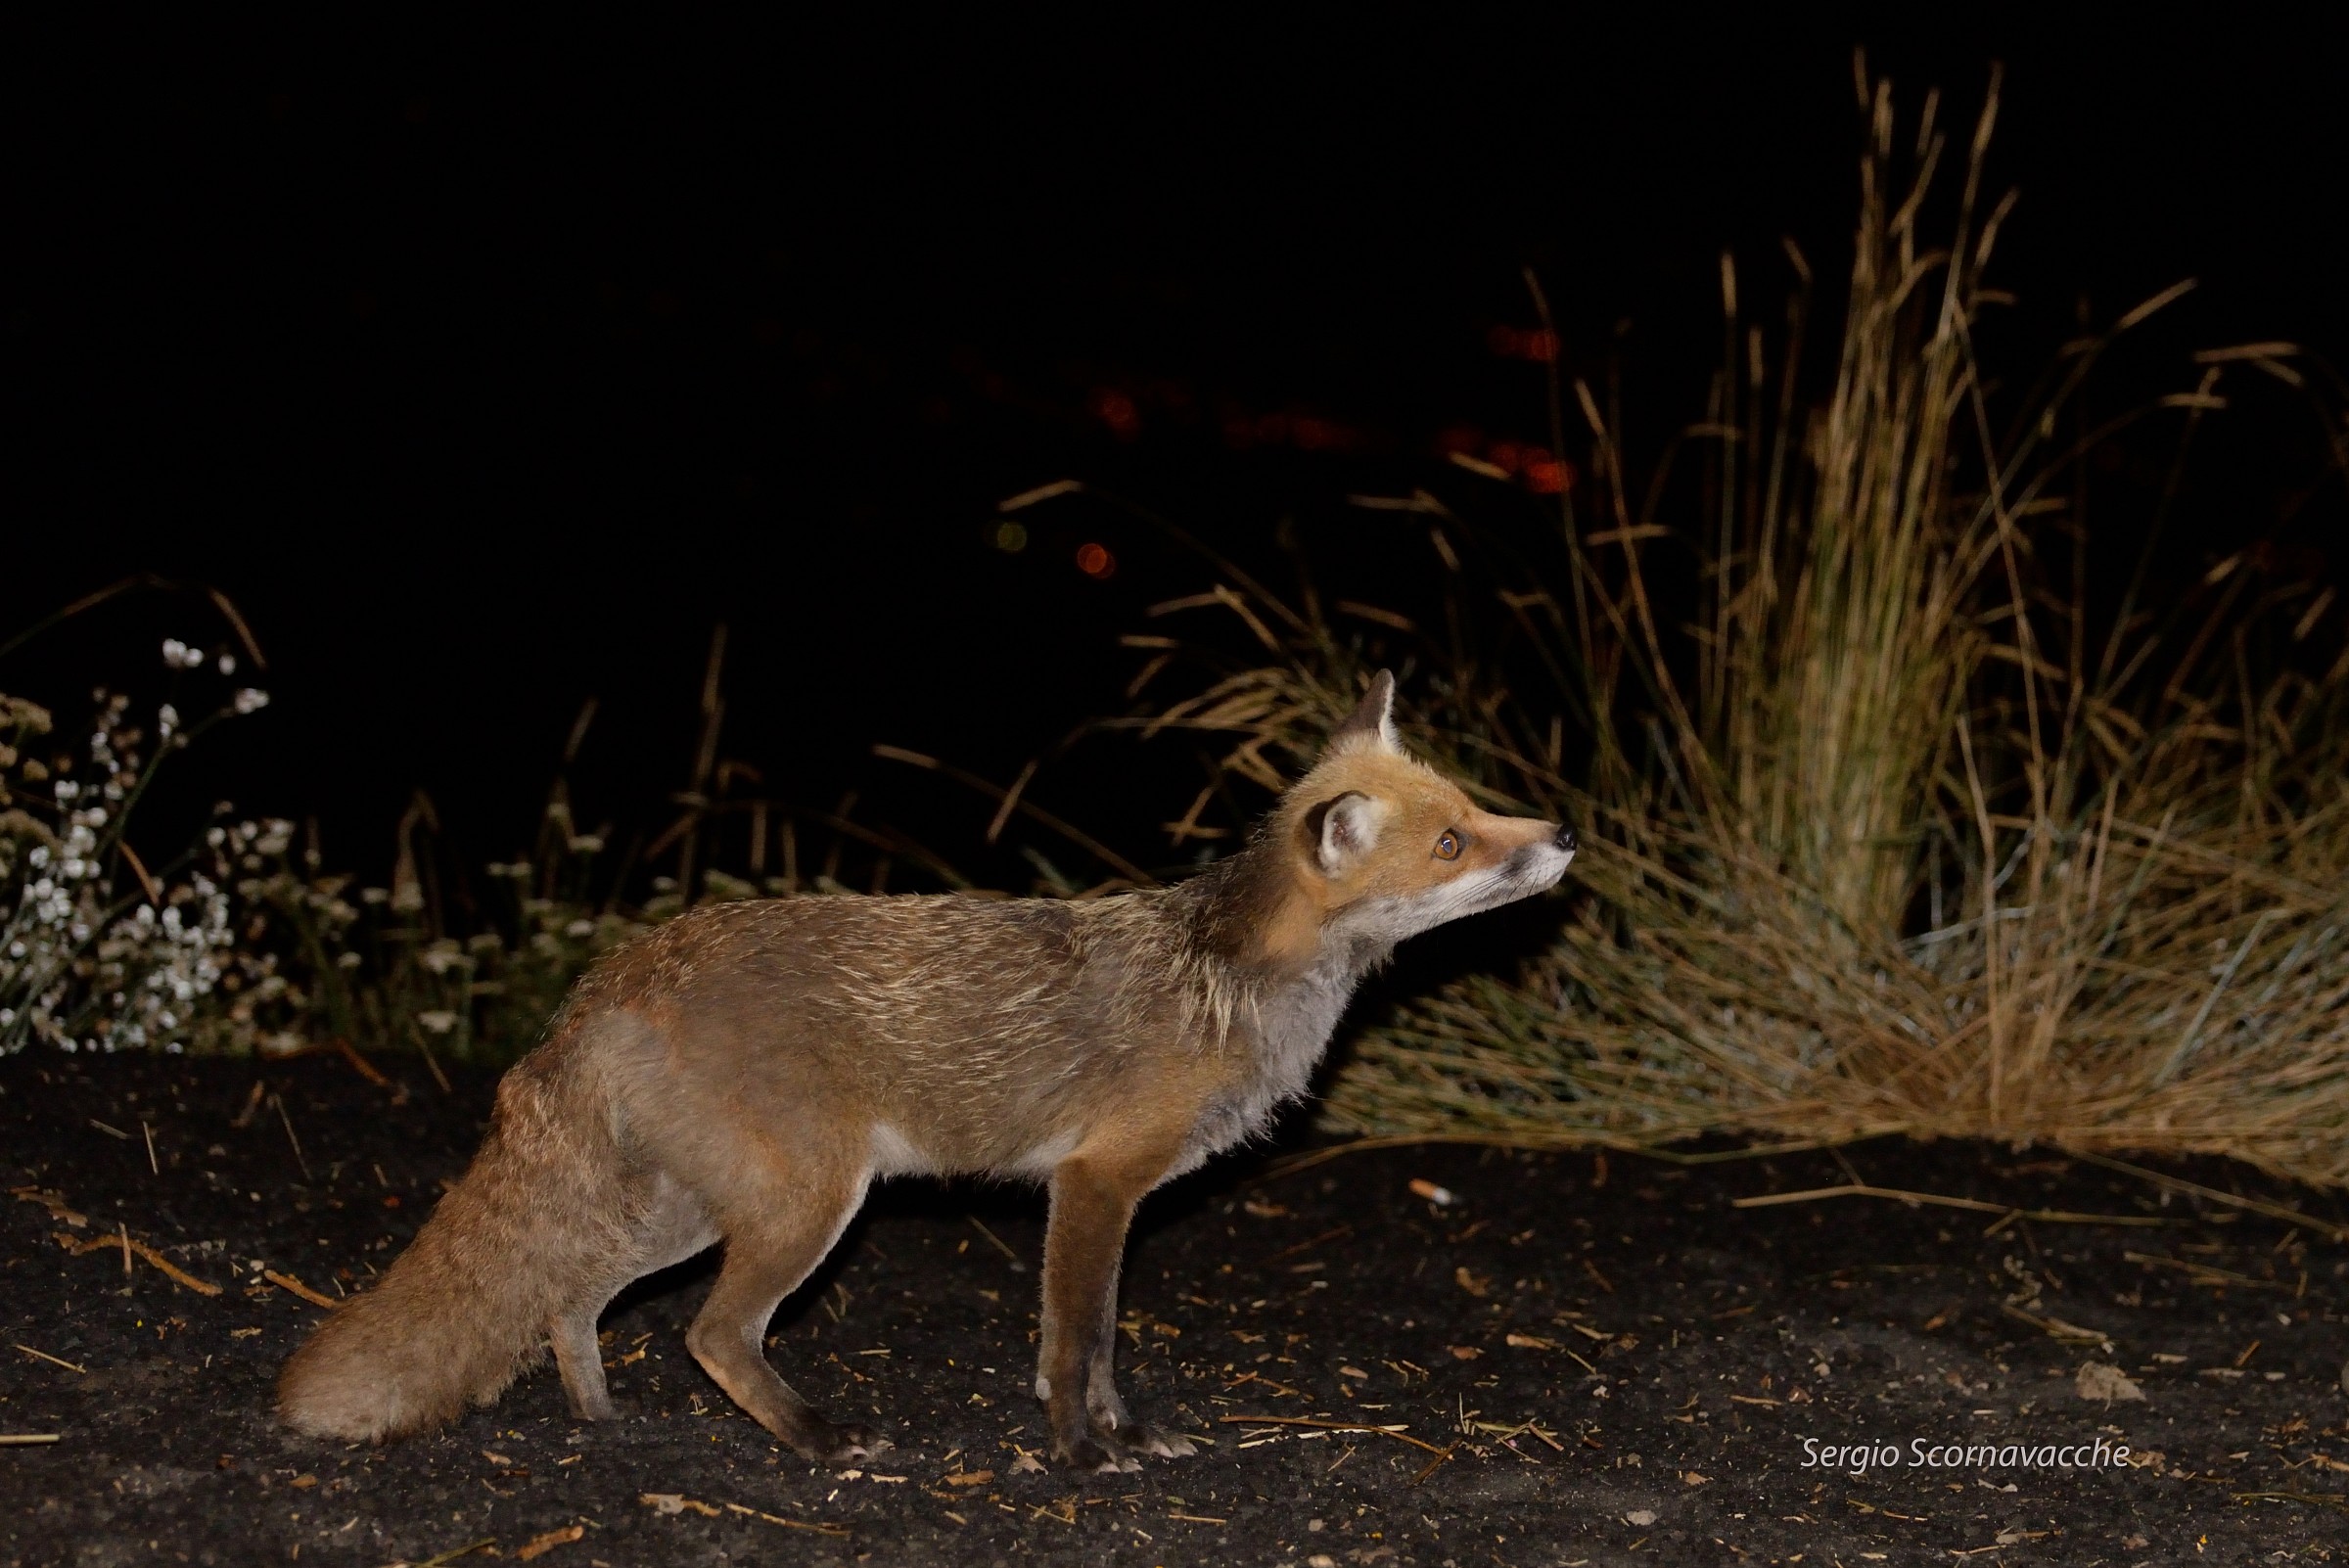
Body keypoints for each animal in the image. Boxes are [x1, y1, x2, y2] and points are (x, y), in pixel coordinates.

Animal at [277, 670, 1576, 1471]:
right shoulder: (1095, 1184)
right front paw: (1082, 1455)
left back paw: (603, 1421)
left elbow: (1106, 1343)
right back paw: (820, 1442)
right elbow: (1075, 1343)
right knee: (710, 1335)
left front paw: (1126, 1440)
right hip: (808, 1206)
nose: (1562, 833)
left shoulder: (1113, 1197)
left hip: (696, 1210)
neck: (1234, 984)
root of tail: (614, 972)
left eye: (1472, 807)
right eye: (1453, 842)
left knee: (571, 1297)